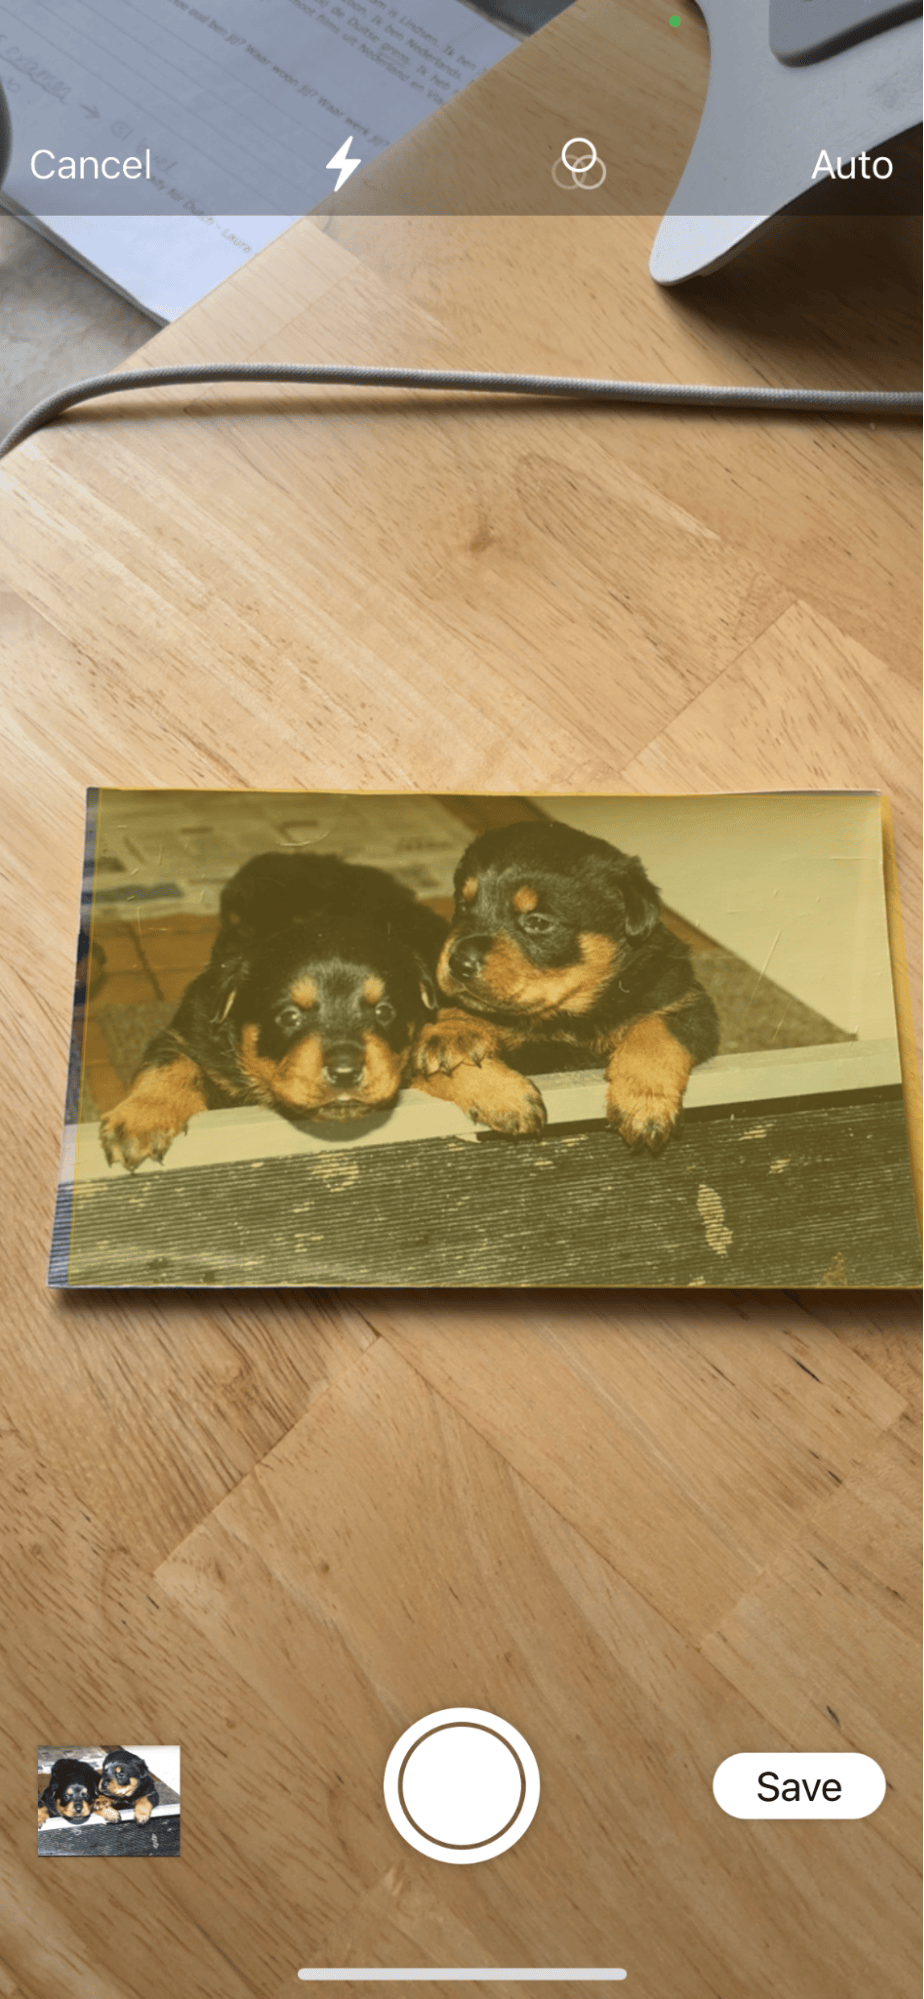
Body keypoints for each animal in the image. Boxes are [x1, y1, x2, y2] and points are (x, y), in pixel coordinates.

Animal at [100, 853, 446, 1171]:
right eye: (289, 1017)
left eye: (385, 1012)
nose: (345, 1072)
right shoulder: (190, 1029)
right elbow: (169, 1062)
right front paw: (141, 1118)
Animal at [412, 819, 719, 1151]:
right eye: (463, 905)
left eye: (537, 922)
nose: (458, 962)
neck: (567, 1018)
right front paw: (460, 1040)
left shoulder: (684, 999)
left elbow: (656, 1033)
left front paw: (644, 1105)